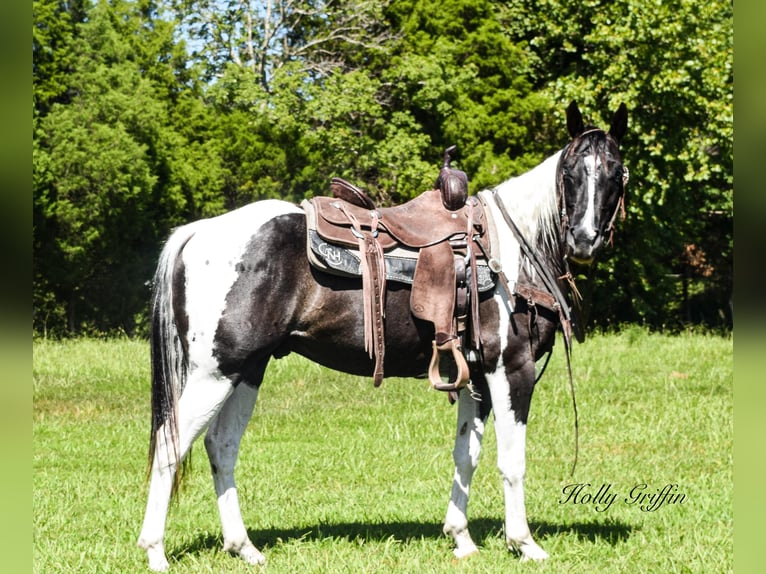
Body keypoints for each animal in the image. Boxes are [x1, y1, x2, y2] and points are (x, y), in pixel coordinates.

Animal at [140, 100, 632, 572]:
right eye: (570, 172)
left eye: (615, 171)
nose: (584, 239)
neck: (514, 249)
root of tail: (198, 232)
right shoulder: (510, 369)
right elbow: (512, 461)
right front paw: (524, 543)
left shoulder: (473, 377)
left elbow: (465, 455)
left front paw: (461, 539)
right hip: (215, 373)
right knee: (170, 446)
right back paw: (155, 552)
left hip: (246, 370)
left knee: (220, 446)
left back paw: (245, 549)